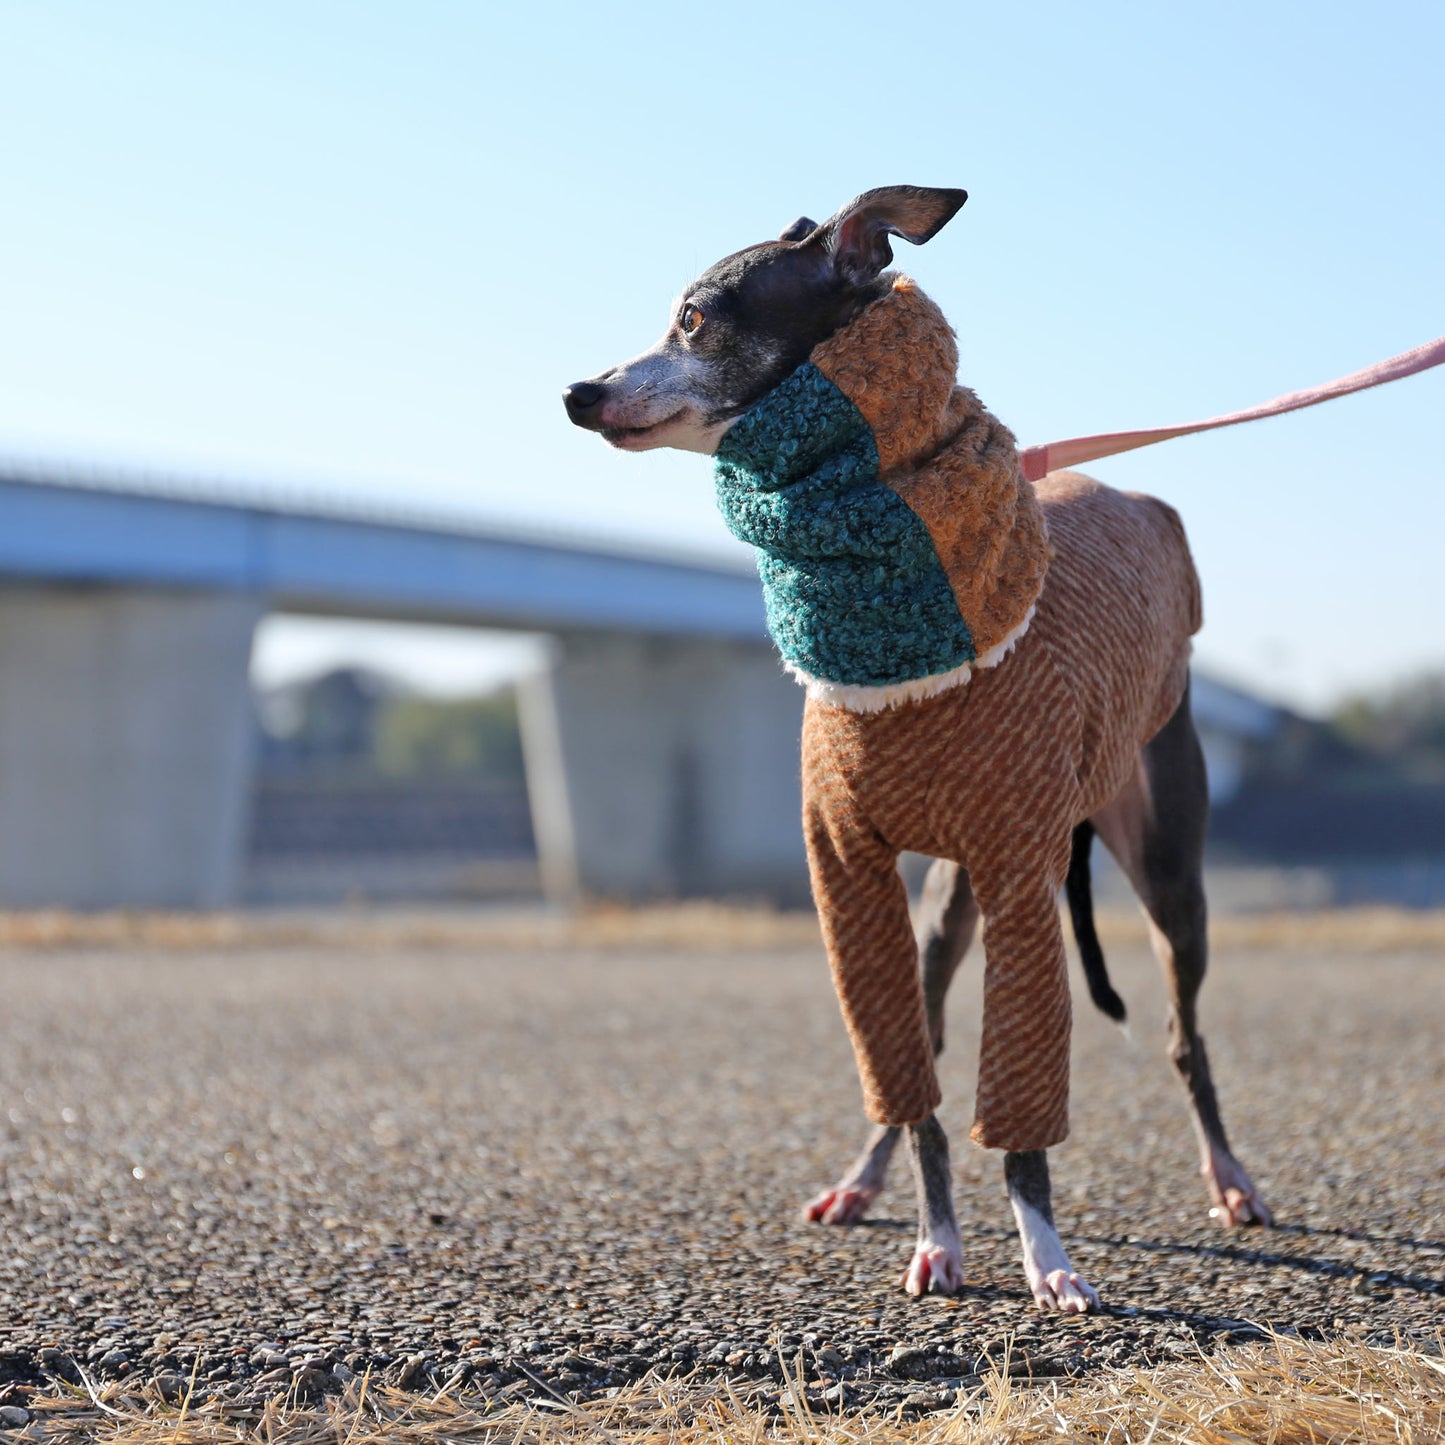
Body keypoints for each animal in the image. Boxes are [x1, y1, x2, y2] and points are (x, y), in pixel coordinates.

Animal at [557, 186, 1271, 1317]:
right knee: (921, 1042)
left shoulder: (1020, 877)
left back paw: (1230, 1177)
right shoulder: (849, 867)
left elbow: (1020, 1114)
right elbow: (912, 1079)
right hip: (945, 898)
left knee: (1182, 1033)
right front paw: (940, 1240)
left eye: (695, 317)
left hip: (1164, 868)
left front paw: (1046, 1255)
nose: (578, 393)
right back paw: (860, 1180)